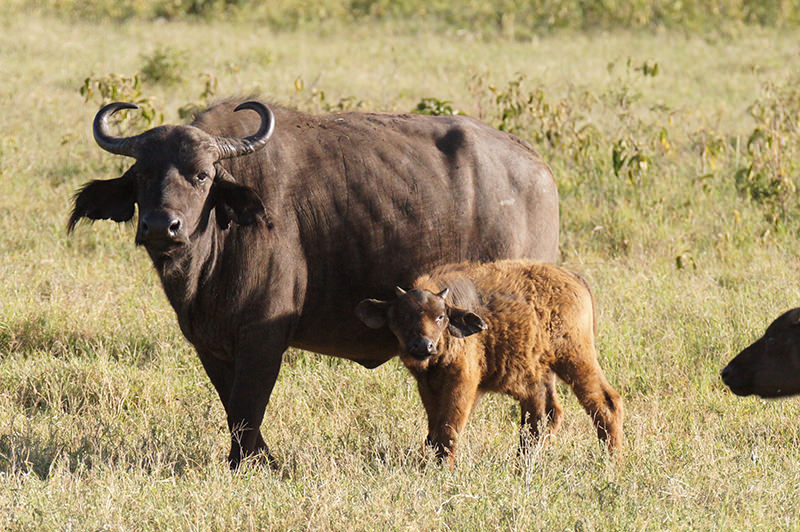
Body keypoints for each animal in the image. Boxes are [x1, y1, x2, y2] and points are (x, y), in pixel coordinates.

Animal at [69, 98, 560, 466]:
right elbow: (232, 406)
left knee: (542, 400)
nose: (161, 226)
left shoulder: (263, 336)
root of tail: (537, 168)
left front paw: (247, 465)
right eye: (142, 175)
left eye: (201, 175)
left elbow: (247, 406)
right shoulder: (210, 343)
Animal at [358, 260, 624, 464]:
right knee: (544, 415)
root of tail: (574, 278)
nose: (423, 346)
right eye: (401, 317)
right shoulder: (427, 386)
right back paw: (524, 465)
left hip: (576, 359)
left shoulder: (463, 382)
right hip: (541, 373)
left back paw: (611, 462)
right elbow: (434, 430)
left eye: (441, 316)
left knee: (605, 402)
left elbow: (449, 428)